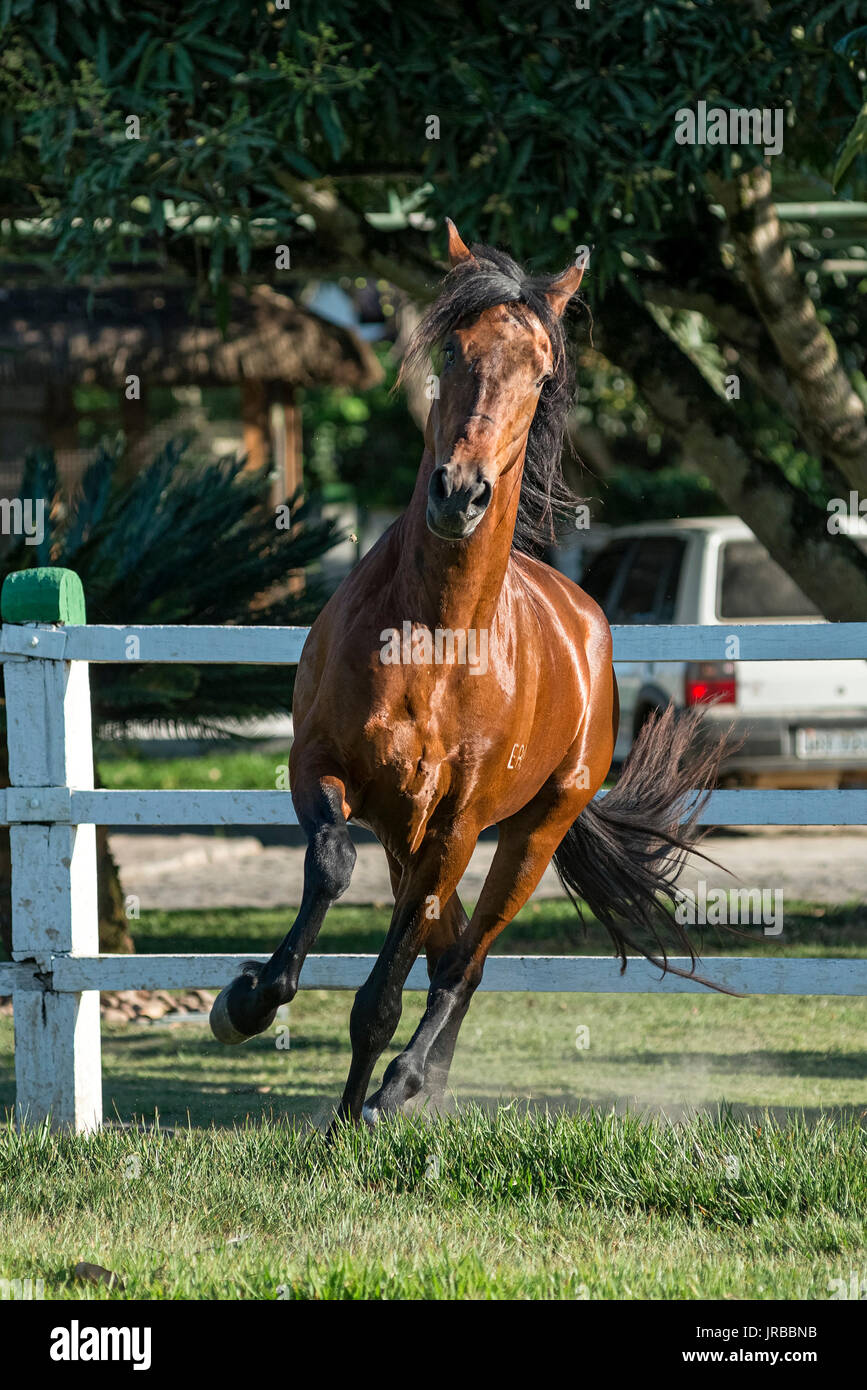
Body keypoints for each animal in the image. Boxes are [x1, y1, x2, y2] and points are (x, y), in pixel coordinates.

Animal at [210, 219, 731, 1125]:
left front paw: (347, 1119)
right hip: (405, 830)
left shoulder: (456, 824)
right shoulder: (321, 767)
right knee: (448, 943)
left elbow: (383, 994)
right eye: (453, 351)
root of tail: (585, 618)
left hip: (530, 831)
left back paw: (402, 1088)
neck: (433, 642)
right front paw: (244, 1002)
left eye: (542, 372)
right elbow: (328, 865)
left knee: (465, 956)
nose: (459, 493)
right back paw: (414, 1086)